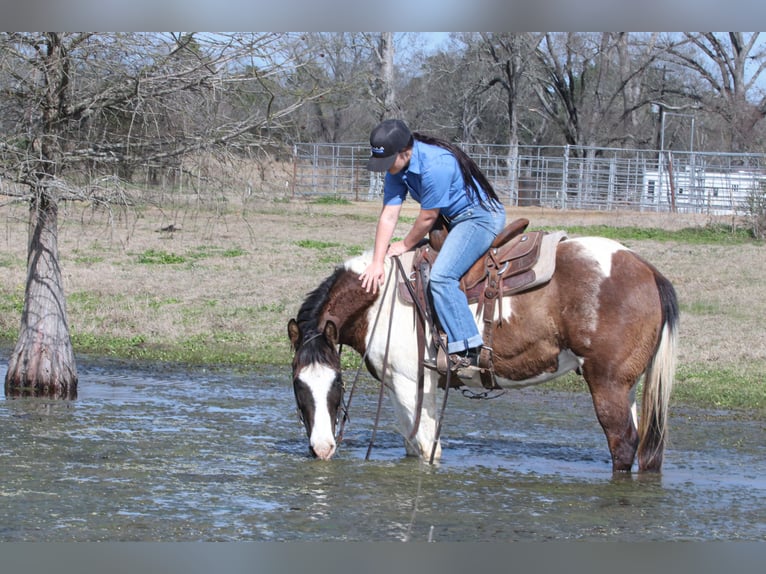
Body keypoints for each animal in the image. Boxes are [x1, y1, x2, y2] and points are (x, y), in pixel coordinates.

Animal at [288, 227, 680, 474]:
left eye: (337, 384)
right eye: (298, 385)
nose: (322, 448)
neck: (381, 301)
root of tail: (648, 271)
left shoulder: (410, 383)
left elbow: (427, 449)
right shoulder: (405, 386)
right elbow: (414, 447)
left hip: (607, 384)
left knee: (623, 443)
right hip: (626, 387)